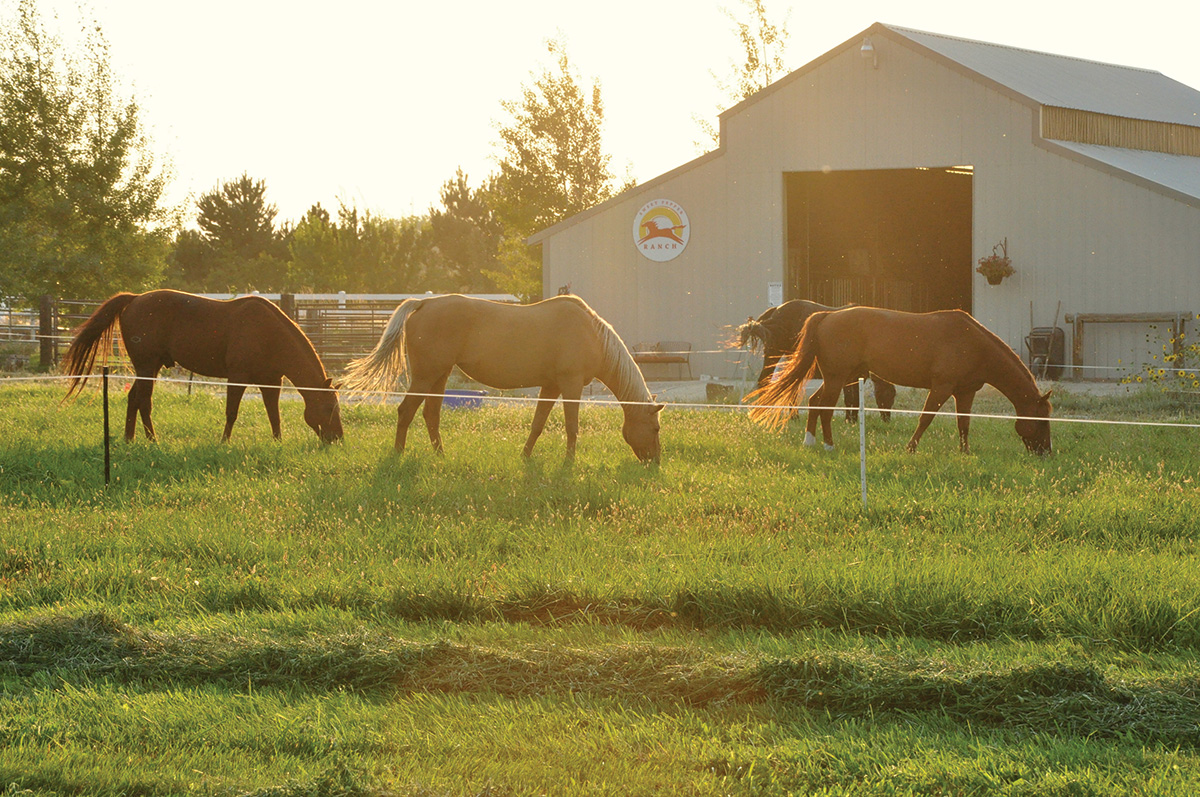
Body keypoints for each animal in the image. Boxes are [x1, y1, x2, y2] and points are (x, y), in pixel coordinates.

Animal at [62, 291, 343, 441]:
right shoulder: (237, 377)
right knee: (143, 401)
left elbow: (274, 414)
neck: (268, 333)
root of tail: (135, 299)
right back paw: (152, 440)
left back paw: (131, 439)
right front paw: (224, 442)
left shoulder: (271, 381)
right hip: (147, 367)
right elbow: (232, 412)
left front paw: (277, 441)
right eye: (329, 407)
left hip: (150, 369)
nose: (337, 438)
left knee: (135, 399)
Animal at [343, 294, 667, 460]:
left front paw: (525, 456)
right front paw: (569, 463)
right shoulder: (570, 385)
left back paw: (441, 455)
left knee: (430, 415)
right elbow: (572, 427)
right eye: (655, 429)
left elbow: (538, 424)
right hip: (425, 376)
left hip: (440, 376)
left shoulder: (551, 386)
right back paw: (398, 454)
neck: (591, 334)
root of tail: (424, 303)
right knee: (406, 411)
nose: (654, 463)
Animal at [734, 300, 897, 422]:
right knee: (766, 382)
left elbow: (852, 398)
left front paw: (851, 419)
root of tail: (776, 310)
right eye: (890, 394)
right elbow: (852, 398)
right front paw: (851, 420)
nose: (887, 419)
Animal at [748, 304, 1051, 453]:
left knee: (814, 402)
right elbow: (925, 419)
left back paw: (810, 442)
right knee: (825, 408)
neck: (972, 343)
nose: (1045, 452)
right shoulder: (941, 388)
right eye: (1041, 421)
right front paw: (910, 448)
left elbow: (963, 424)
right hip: (836, 378)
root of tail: (826, 316)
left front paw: (964, 452)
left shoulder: (965, 392)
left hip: (838, 377)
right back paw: (828, 445)